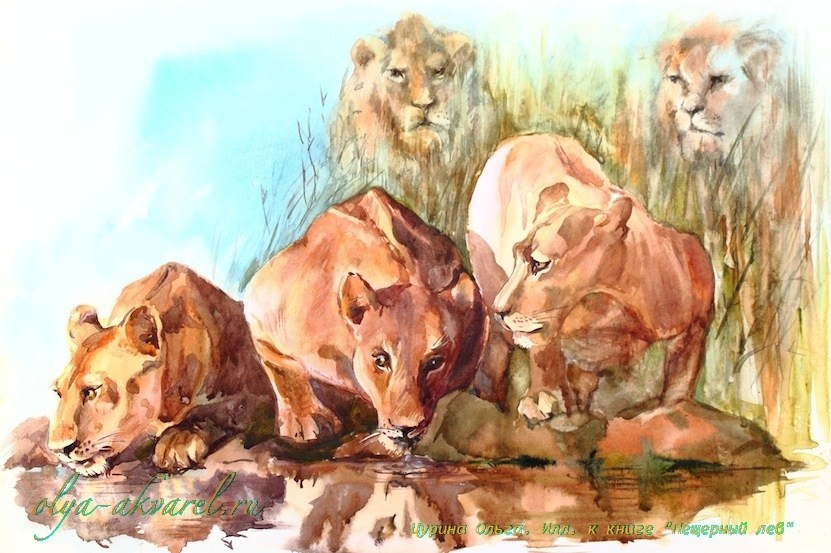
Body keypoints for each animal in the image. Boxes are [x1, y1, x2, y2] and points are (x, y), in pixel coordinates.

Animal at [48, 263, 274, 476]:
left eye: (93, 390)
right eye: (58, 393)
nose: (58, 449)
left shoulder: (261, 400)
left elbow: (216, 411)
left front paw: (177, 441)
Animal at [244, 188, 486, 456]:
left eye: (435, 363)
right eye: (380, 360)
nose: (406, 428)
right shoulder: (263, 304)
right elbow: (280, 362)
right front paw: (306, 421)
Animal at [468, 134, 714, 428]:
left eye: (540, 264)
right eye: (516, 257)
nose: (500, 309)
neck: (606, 306)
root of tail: (529, 137)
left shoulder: (696, 324)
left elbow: (679, 382)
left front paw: (672, 408)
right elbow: (543, 354)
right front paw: (541, 397)